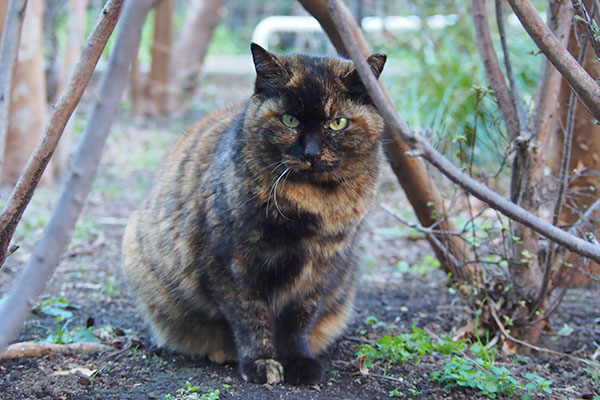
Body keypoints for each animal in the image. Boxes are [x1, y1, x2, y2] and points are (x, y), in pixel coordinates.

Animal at [121, 43, 384, 384]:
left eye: (337, 123)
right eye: (289, 120)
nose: (311, 153)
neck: (312, 205)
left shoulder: (321, 269)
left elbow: (299, 320)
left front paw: (299, 363)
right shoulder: (232, 264)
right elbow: (250, 319)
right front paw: (261, 363)